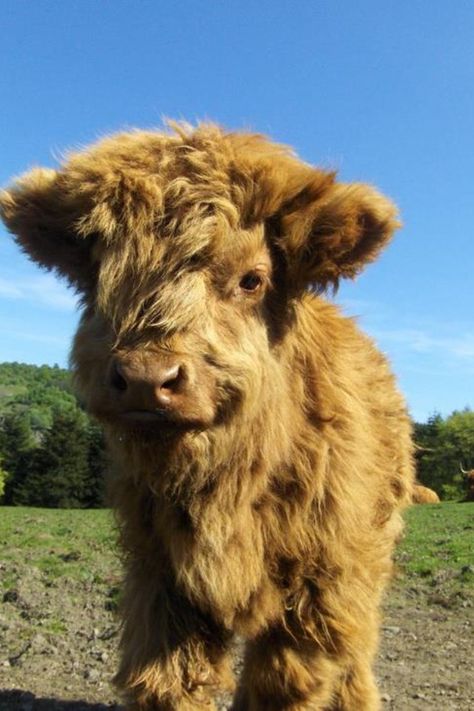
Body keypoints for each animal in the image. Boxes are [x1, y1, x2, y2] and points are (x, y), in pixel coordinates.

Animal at [0, 125, 414, 708]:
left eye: (252, 279)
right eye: (101, 273)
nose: (146, 377)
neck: (224, 488)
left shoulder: (318, 591)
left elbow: (284, 684)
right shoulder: (162, 582)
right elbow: (167, 680)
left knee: (354, 654)